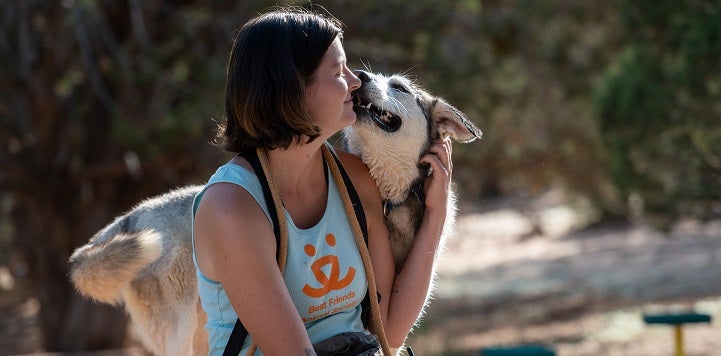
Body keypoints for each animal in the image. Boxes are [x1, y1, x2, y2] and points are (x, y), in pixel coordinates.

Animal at [70, 70, 480, 356]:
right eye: (372, 77)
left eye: (399, 87)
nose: (361, 77)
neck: (387, 195)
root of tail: (131, 217)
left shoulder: (386, 326)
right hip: (182, 333)